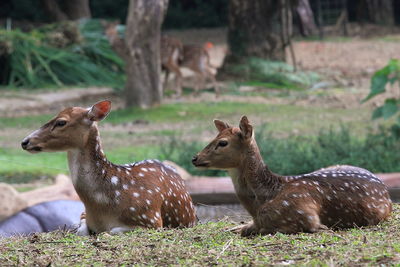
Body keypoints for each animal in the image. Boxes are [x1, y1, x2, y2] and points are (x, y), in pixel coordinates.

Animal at [21, 101, 197, 237]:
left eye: (61, 122)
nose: (25, 141)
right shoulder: (84, 214)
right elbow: (81, 230)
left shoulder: (151, 220)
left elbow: (111, 231)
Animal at [192, 116, 392, 237]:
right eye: (214, 137)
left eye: (222, 143)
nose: (195, 158)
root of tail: (386, 191)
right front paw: (236, 227)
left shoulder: (305, 214)